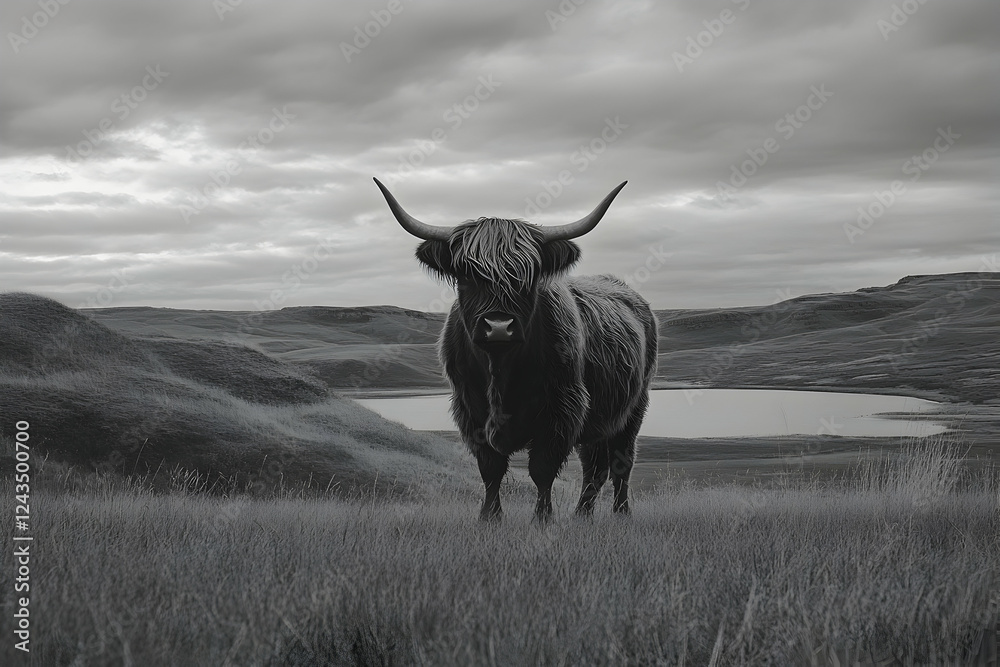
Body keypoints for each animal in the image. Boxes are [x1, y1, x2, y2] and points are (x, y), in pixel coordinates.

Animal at [374, 177, 657, 521]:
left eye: (530, 274)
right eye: (466, 273)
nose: (498, 326)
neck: (501, 370)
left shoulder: (562, 409)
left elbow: (542, 469)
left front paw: (542, 519)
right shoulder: (470, 410)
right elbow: (491, 469)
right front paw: (489, 518)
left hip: (634, 407)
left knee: (620, 463)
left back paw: (620, 513)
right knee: (595, 466)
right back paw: (582, 516)